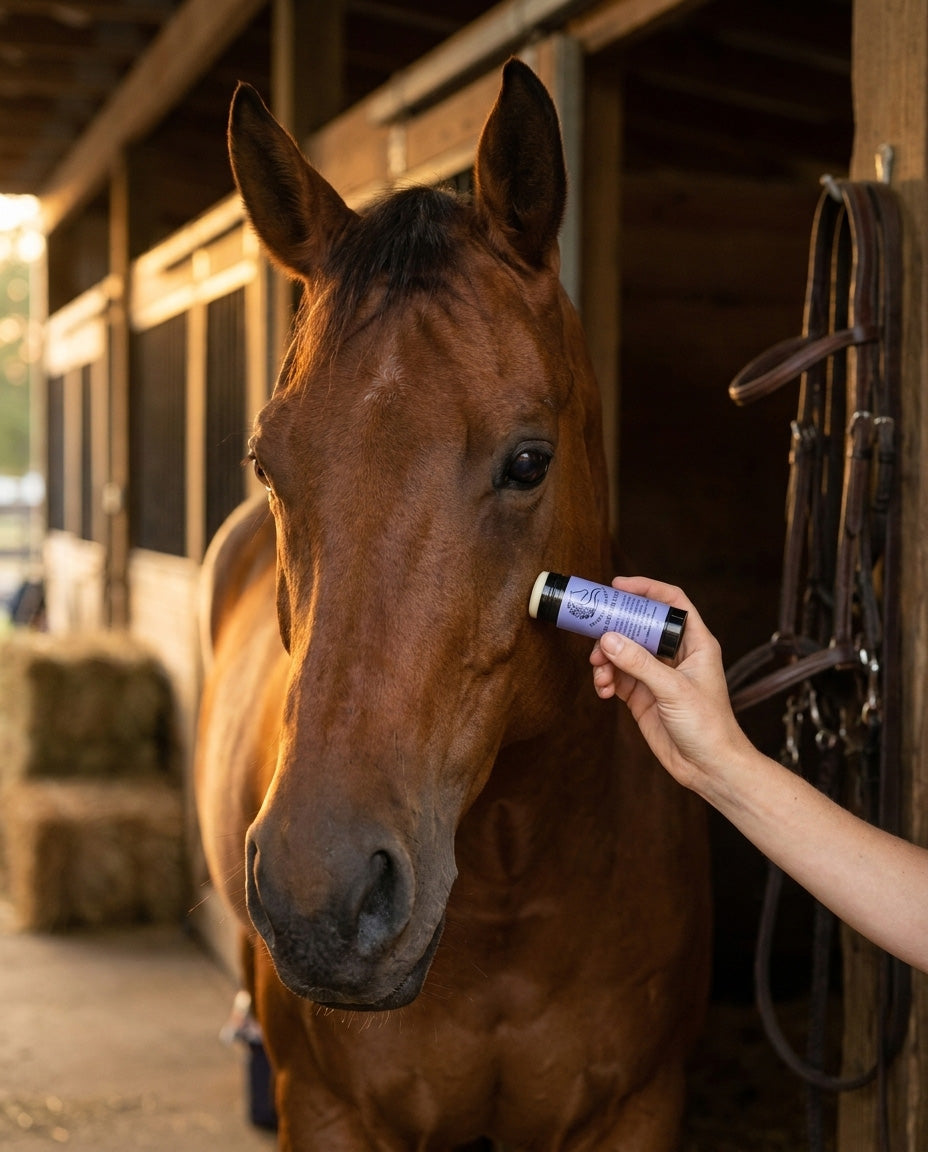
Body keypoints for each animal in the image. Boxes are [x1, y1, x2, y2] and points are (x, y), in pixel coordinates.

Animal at [195, 59, 710, 1151]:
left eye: (528, 462)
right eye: (268, 462)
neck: (516, 888)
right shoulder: (330, 1111)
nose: (319, 898)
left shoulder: (639, 1108)